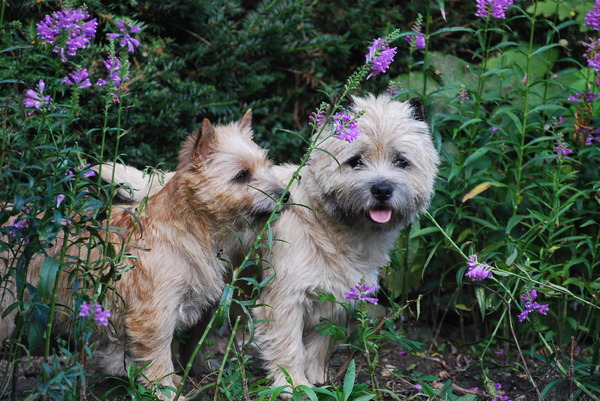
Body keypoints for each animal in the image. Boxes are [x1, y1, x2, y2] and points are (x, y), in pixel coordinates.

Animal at [0, 110, 286, 396]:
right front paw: (167, 392)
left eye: (267, 166)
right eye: (242, 175)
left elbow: (188, 345)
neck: (191, 228)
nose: (285, 194)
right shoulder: (154, 315)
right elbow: (158, 359)